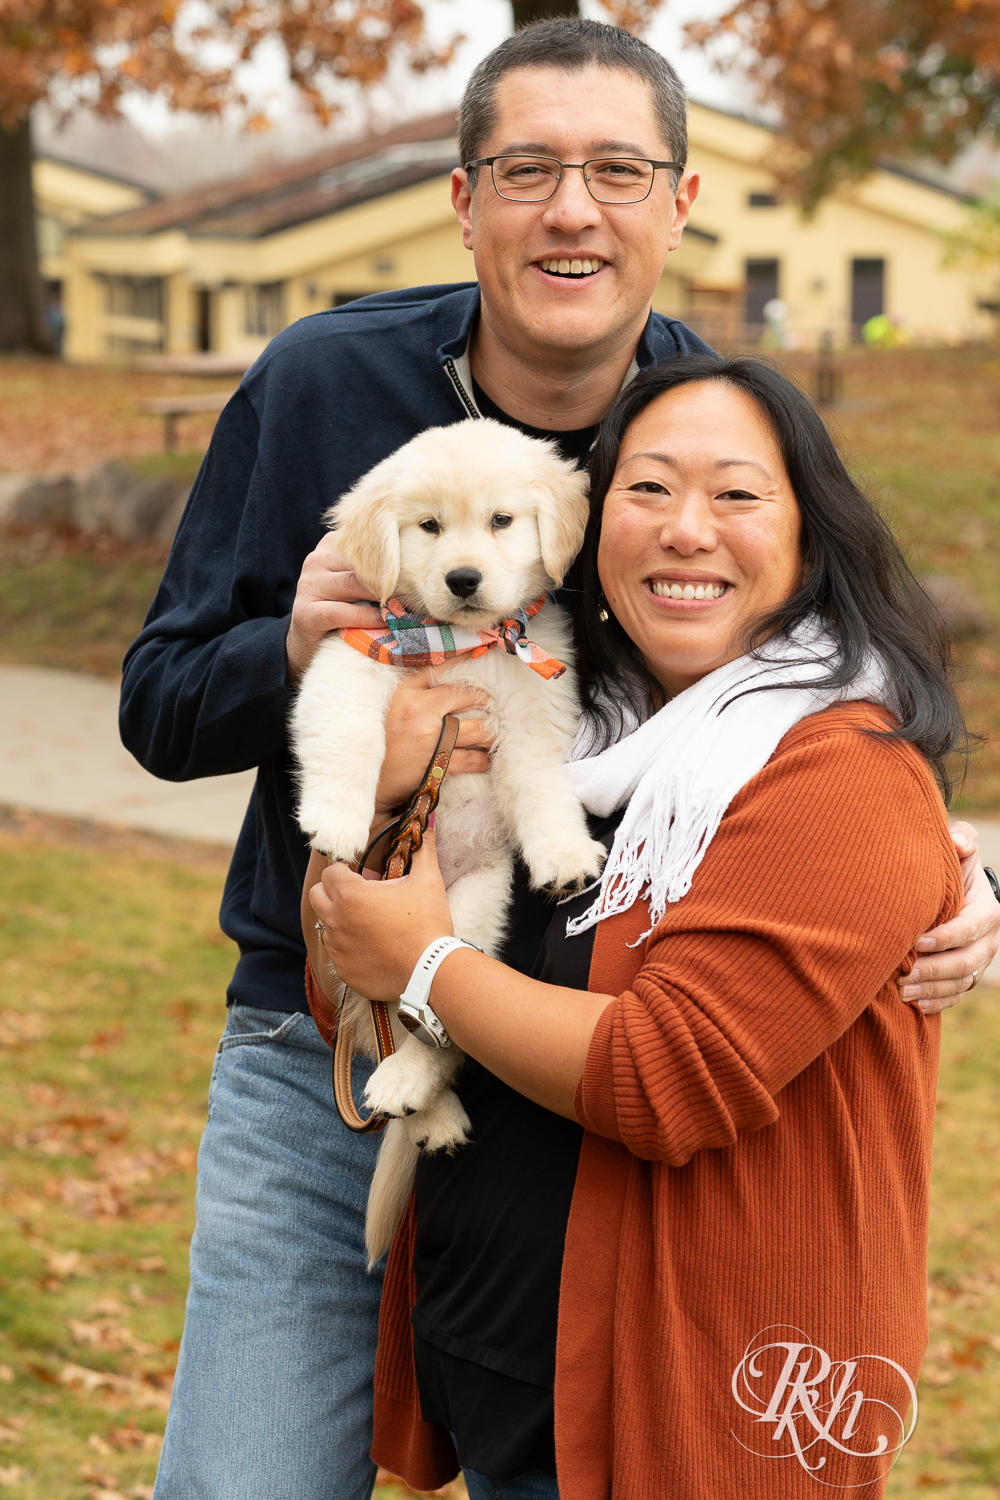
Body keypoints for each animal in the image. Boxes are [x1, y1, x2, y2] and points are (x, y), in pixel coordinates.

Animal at [293, 417, 605, 1260]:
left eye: (501, 521)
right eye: (428, 527)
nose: (464, 579)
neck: (464, 641)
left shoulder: (536, 715)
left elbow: (543, 787)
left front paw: (566, 858)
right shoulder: (349, 660)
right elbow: (347, 733)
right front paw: (335, 815)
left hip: (469, 913)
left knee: (438, 1027)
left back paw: (414, 1092)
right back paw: (419, 1109)